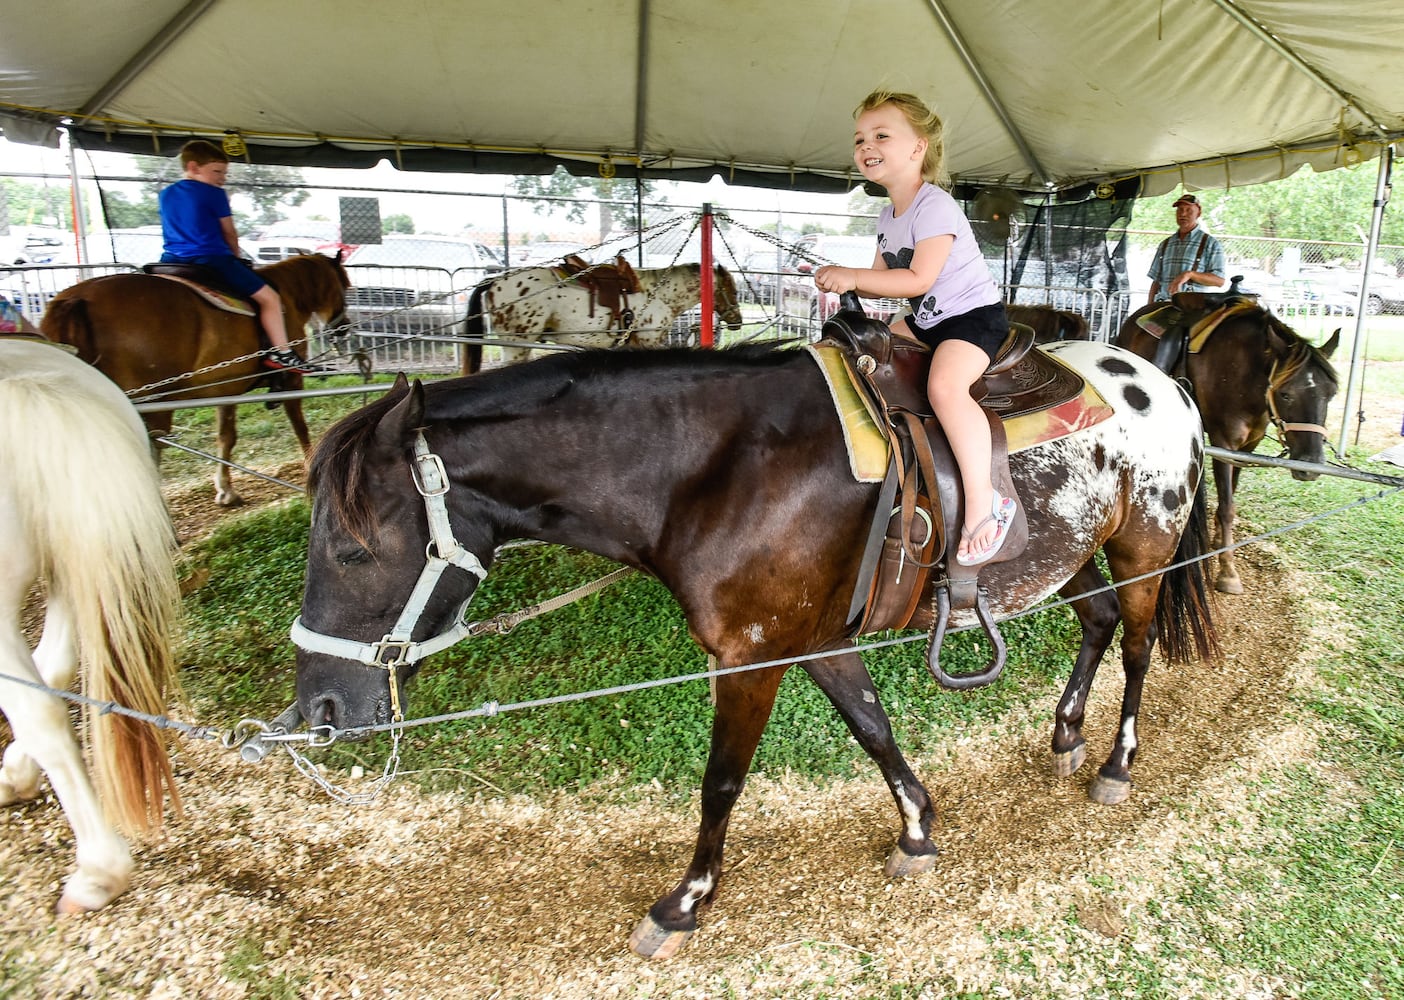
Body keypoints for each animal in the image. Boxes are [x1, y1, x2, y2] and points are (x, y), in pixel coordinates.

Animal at [40, 255, 351, 508]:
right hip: (151, 400)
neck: (287, 295)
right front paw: (311, 467)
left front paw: (226, 490)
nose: (344, 327)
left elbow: (226, 436)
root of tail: (77, 300)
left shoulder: (226, 387)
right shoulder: (291, 382)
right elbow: (299, 424)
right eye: (345, 285)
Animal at [287, 334, 1218, 955]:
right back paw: (1066, 730)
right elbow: (874, 728)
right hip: (1067, 554)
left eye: (352, 549)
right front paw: (918, 828)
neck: (715, 470)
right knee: (1098, 626)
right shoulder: (811, 640)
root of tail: (1163, 382)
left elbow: (721, 783)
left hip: (1145, 547)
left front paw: (687, 900)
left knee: (1137, 647)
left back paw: (1116, 761)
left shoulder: (750, 657)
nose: (318, 707)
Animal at [460, 261, 746, 376]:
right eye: (732, 289)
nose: (738, 320)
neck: (660, 293)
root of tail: (494, 281)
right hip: (516, 343)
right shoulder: (649, 340)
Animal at [1117, 303, 1336, 592]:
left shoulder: (1247, 447)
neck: (1245, 373)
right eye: (1285, 393)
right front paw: (1228, 571)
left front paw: (1220, 539)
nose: (1310, 465)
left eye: (1331, 393)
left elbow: (1231, 494)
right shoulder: (1224, 442)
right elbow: (1227, 506)